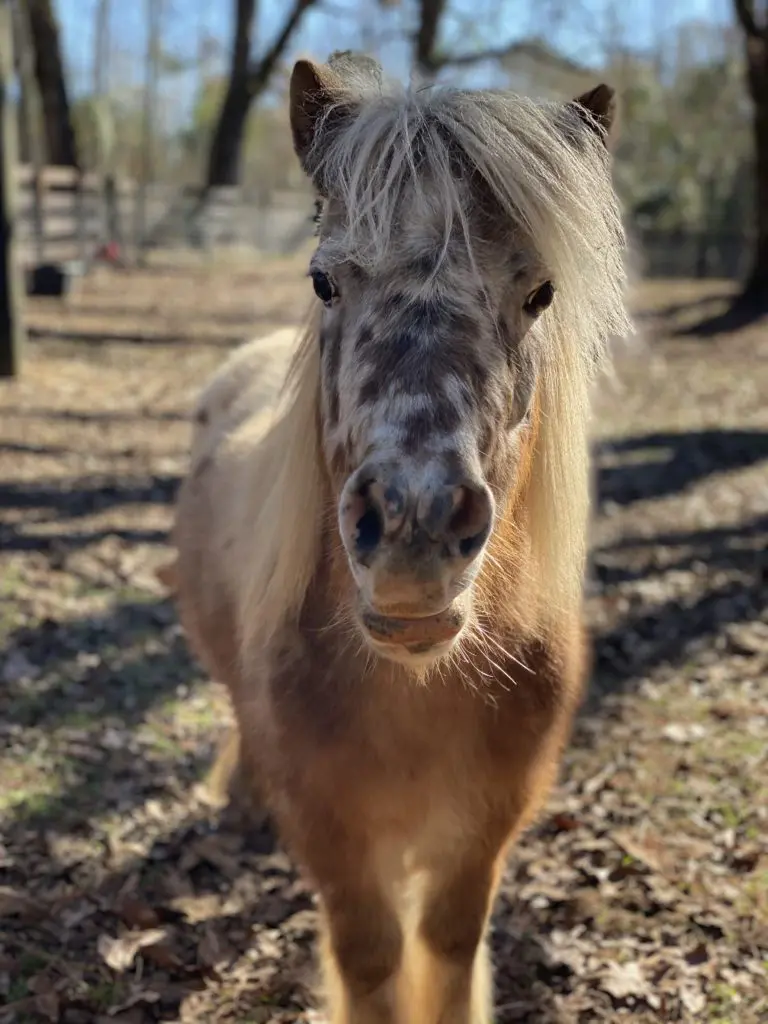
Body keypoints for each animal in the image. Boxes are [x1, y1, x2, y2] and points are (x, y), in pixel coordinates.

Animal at [165, 51, 631, 1024]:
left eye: (540, 292)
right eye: (325, 280)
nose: (414, 525)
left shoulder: (485, 829)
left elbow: (448, 948)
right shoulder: (335, 838)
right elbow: (372, 958)